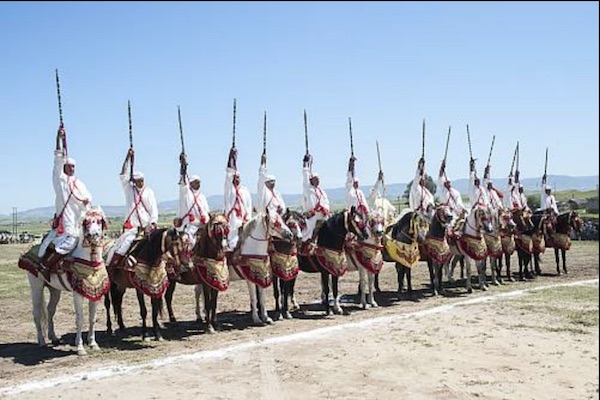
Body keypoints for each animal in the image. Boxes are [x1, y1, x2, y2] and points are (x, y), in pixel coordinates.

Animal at [17, 206, 109, 356]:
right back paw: (41, 341)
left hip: (54, 290)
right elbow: (80, 318)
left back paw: (53, 337)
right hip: (36, 287)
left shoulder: (95, 293)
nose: (93, 235)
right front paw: (80, 347)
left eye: (99, 221)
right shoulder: (77, 294)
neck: (90, 261)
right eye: (86, 222)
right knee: (37, 313)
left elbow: (92, 317)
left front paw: (93, 343)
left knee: (50, 310)